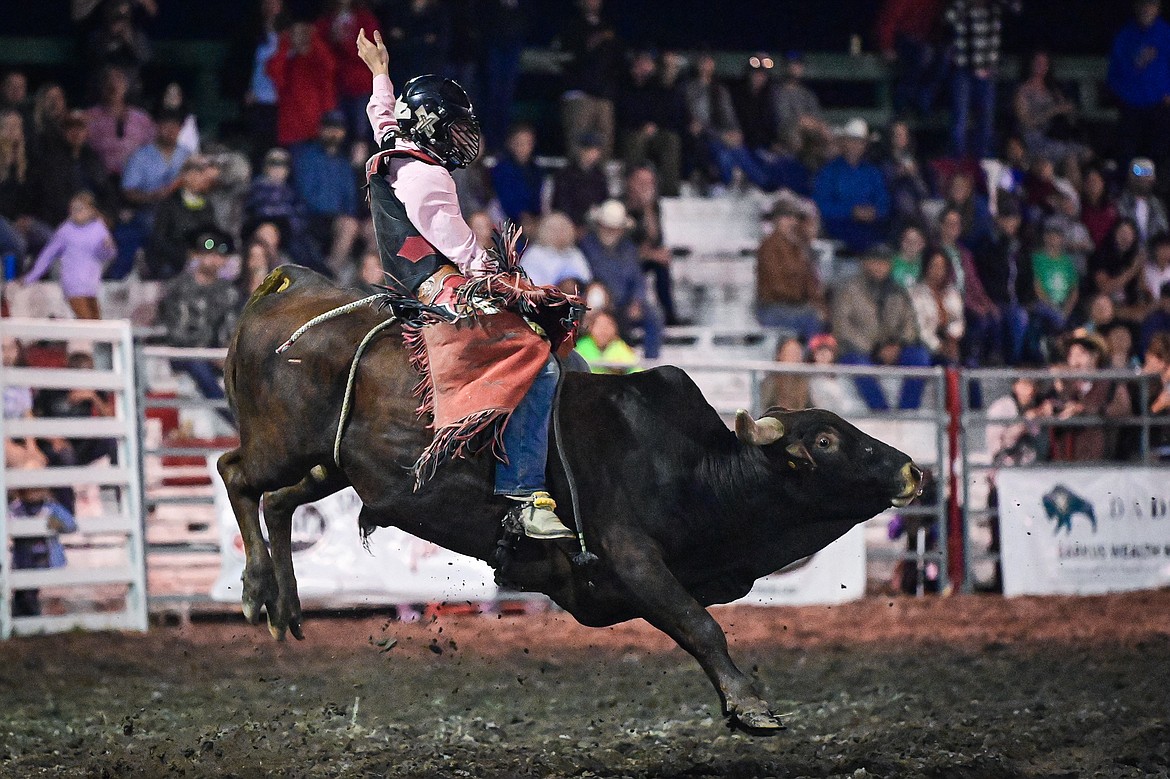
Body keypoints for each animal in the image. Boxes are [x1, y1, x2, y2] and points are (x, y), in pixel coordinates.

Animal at [217, 264, 921, 729]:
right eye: (826, 441)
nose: (913, 469)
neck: (695, 470)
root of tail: (290, 284)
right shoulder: (629, 554)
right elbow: (699, 624)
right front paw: (749, 705)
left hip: (332, 464)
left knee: (279, 502)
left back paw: (285, 605)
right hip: (281, 443)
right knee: (234, 472)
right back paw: (253, 588)